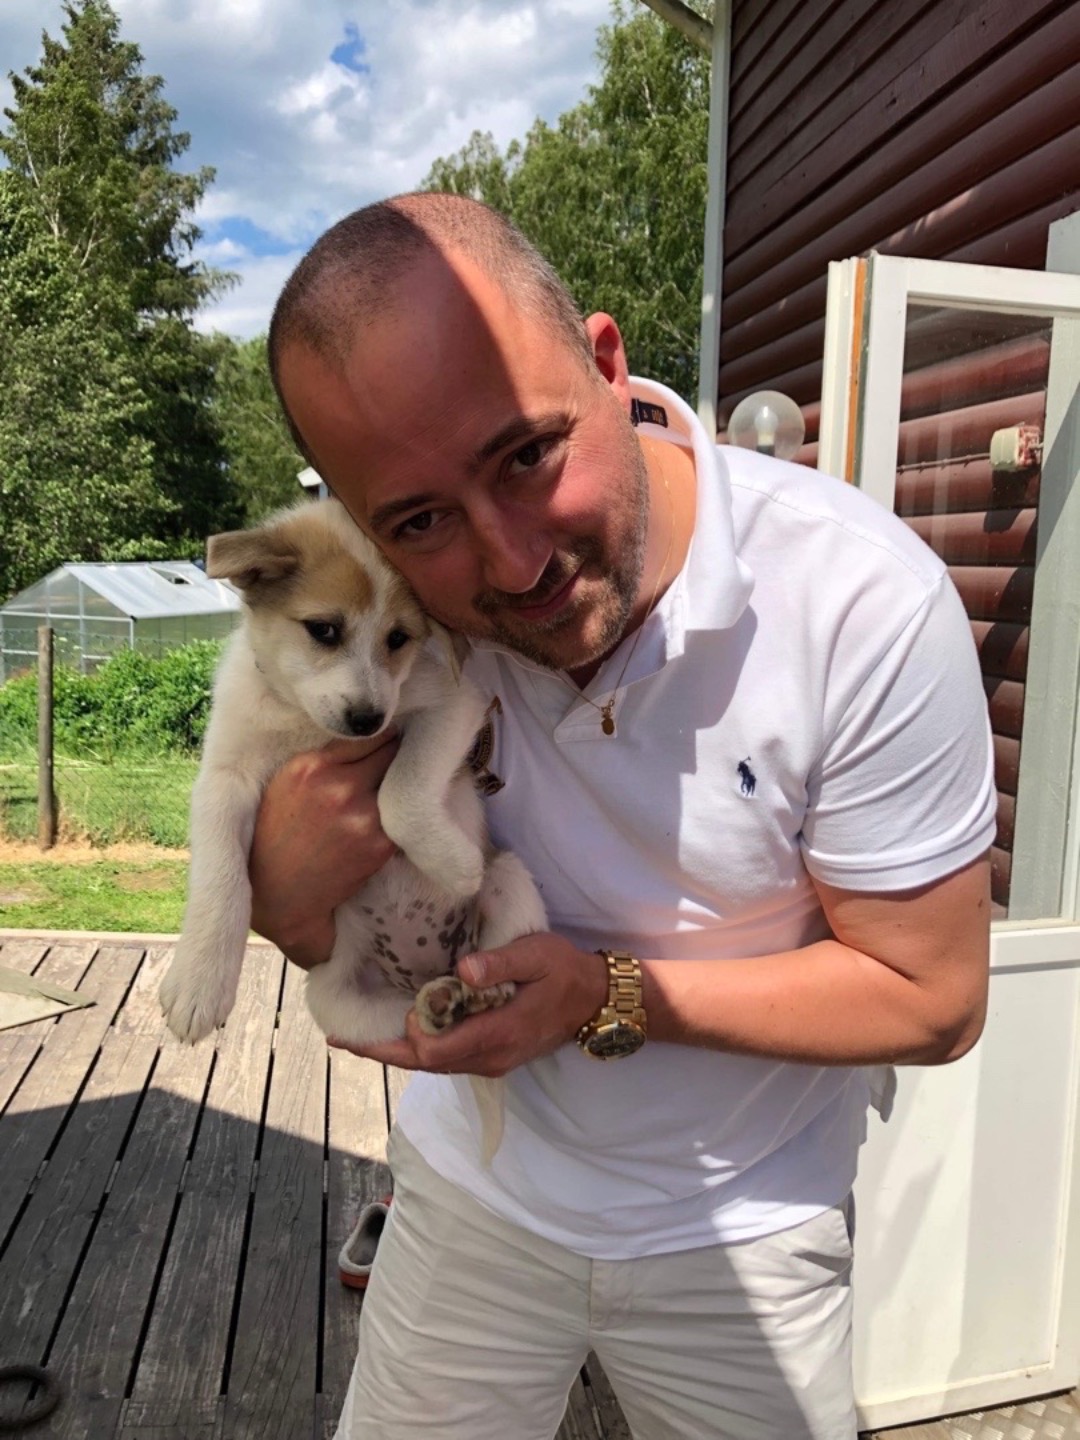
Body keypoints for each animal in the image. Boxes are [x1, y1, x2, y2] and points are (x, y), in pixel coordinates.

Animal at [159, 498, 546, 1158]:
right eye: (324, 630)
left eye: (398, 639)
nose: (367, 720)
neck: (304, 723)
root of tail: (428, 968)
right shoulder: (224, 779)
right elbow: (220, 876)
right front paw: (199, 979)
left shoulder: (450, 705)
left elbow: (399, 793)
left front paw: (453, 865)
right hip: (333, 1000)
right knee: (409, 1027)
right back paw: (442, 1008)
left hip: (512, 884)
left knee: (498, 972)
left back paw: (483, 992)